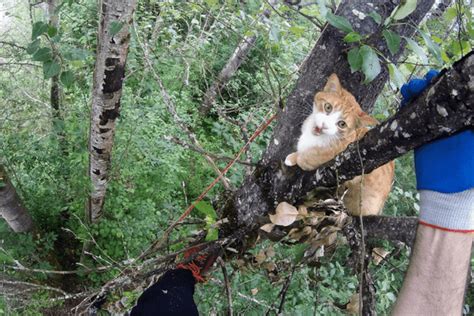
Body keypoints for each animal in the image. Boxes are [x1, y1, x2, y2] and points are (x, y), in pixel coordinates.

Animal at [286, 74, 392, 216]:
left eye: (342, 124)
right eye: (328, 107)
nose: (323, 125)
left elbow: (305, 159)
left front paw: (294, 158)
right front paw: (293, 155)